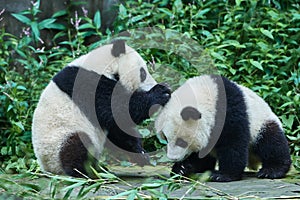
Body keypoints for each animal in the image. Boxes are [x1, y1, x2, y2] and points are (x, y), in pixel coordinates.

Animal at [32, 40, 171, 177]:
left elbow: (118, 128)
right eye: (143, 73)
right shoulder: (88, 85)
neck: (102, 66)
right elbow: (119, 109)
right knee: (76, 146)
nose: (153, 84)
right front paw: (161, 92)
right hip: (58, 140)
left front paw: (140, 154)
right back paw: (88, 171)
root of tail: (49, 169)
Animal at [156, 74, 292, 181]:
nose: (173, 158)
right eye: (166, 138)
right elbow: (200, 154)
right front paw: (182, 168)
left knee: (272, 142)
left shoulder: (229, 111)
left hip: (261, 123)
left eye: (181, 141)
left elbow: (233, 141)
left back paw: (271, 170)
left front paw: (223, 175)